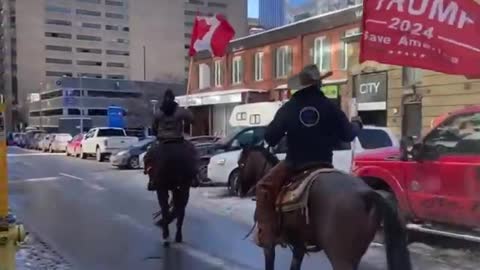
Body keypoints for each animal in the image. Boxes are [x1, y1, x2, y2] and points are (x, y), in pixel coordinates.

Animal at [238, 146, 410, 270]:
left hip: (341, 258)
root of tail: (368, 195)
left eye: (241, 163)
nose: (239, 188)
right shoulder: (299, 245)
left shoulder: (269, 245)